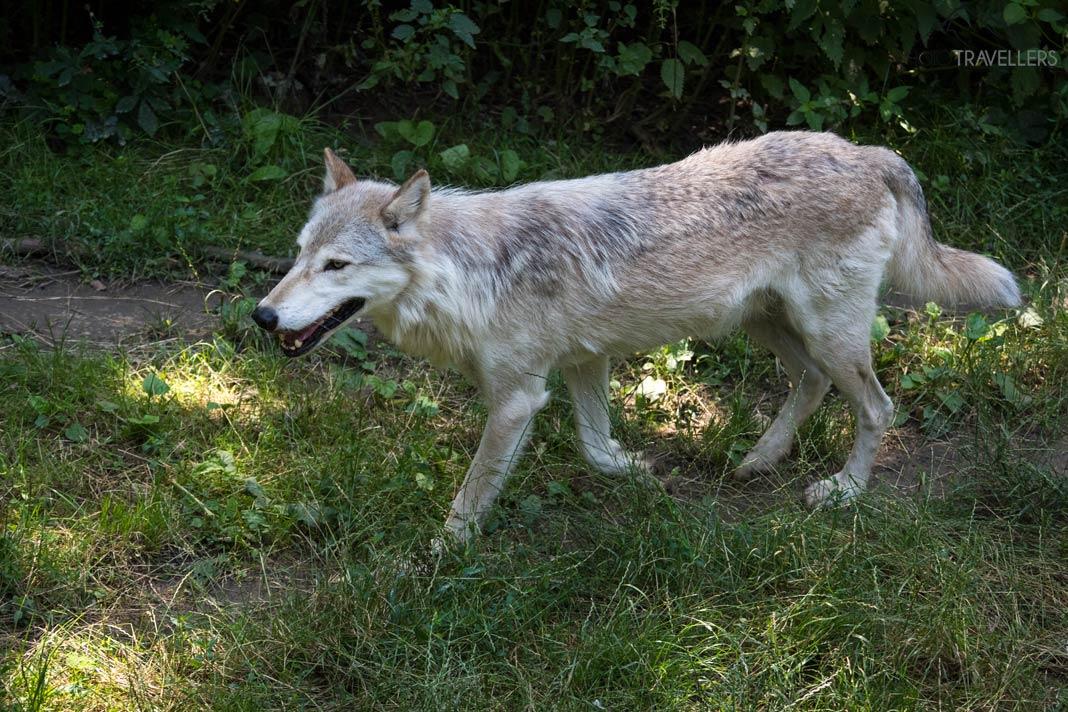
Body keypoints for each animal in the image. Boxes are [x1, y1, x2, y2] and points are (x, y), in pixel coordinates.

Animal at [251, 132, 1021, 545]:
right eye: (297, 255)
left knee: (878, 408)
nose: (262, 316)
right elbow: (595, 448)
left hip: (828, 334)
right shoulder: (581, 366)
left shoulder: (518, 399)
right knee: (812, 383)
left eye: (335, 266)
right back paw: (759, 460)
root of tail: (868, 150)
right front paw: (641, 471)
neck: (470, 273)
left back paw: (844, 492)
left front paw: (442, 554)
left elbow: (471, 496)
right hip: (770, 325)